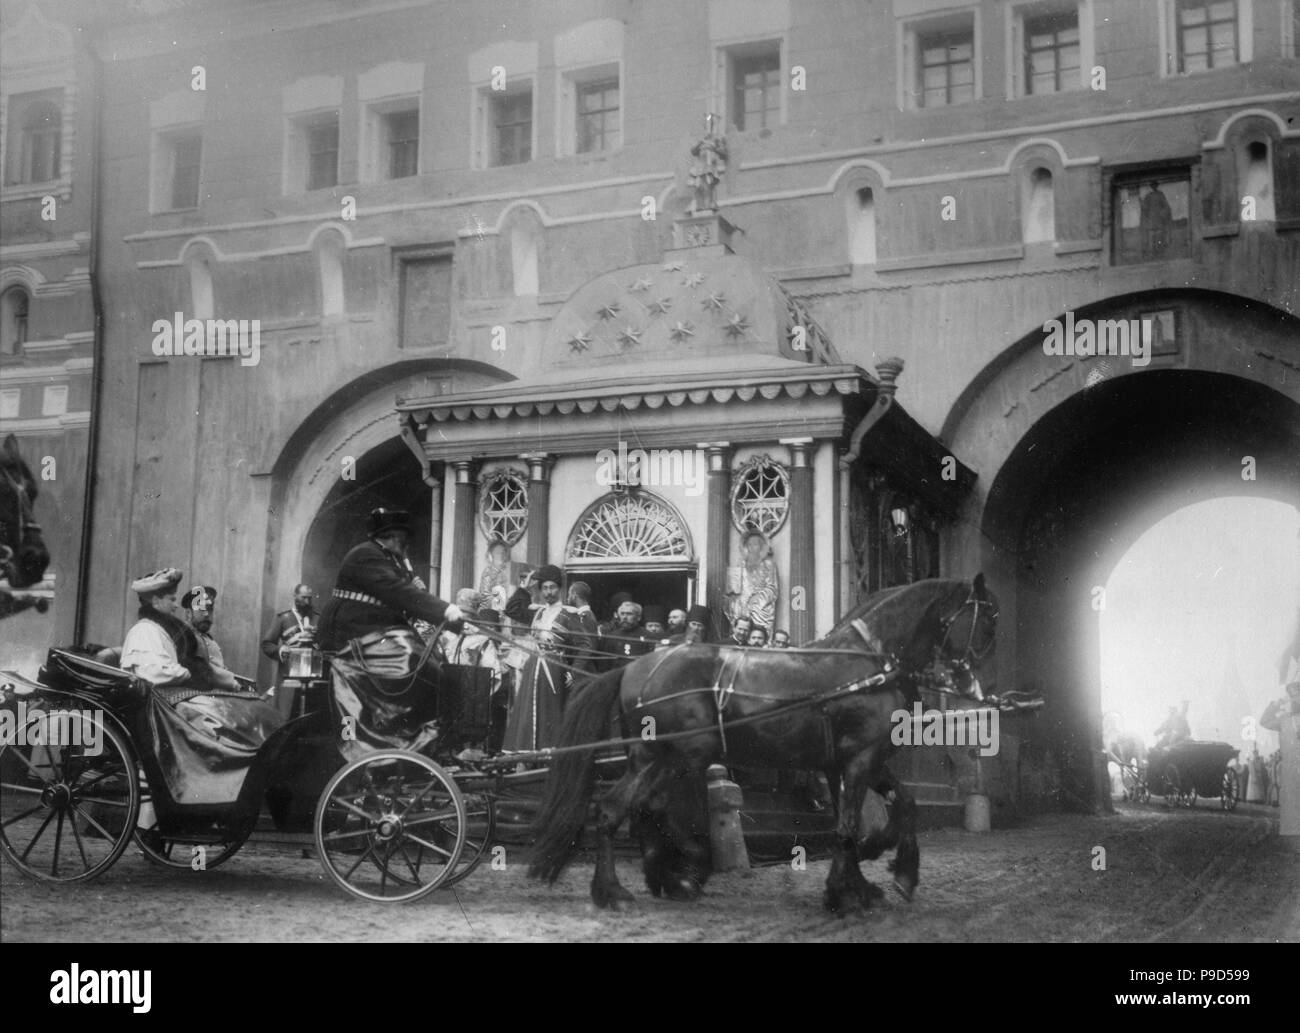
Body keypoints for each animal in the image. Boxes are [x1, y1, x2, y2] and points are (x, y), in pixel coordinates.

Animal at [533, 574, 998, 914]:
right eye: (987, 618)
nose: (974, 686)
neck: (870, 664)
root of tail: (634, 668)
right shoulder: (859, 759)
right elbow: (850, 826)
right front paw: (850, 888)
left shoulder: (854, 761)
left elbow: (900, 808)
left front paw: (886, 875)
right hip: (678, 756)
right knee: (615, 810)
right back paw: (618, 889)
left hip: (660, 759)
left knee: (646, 810)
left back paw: (670, 877)